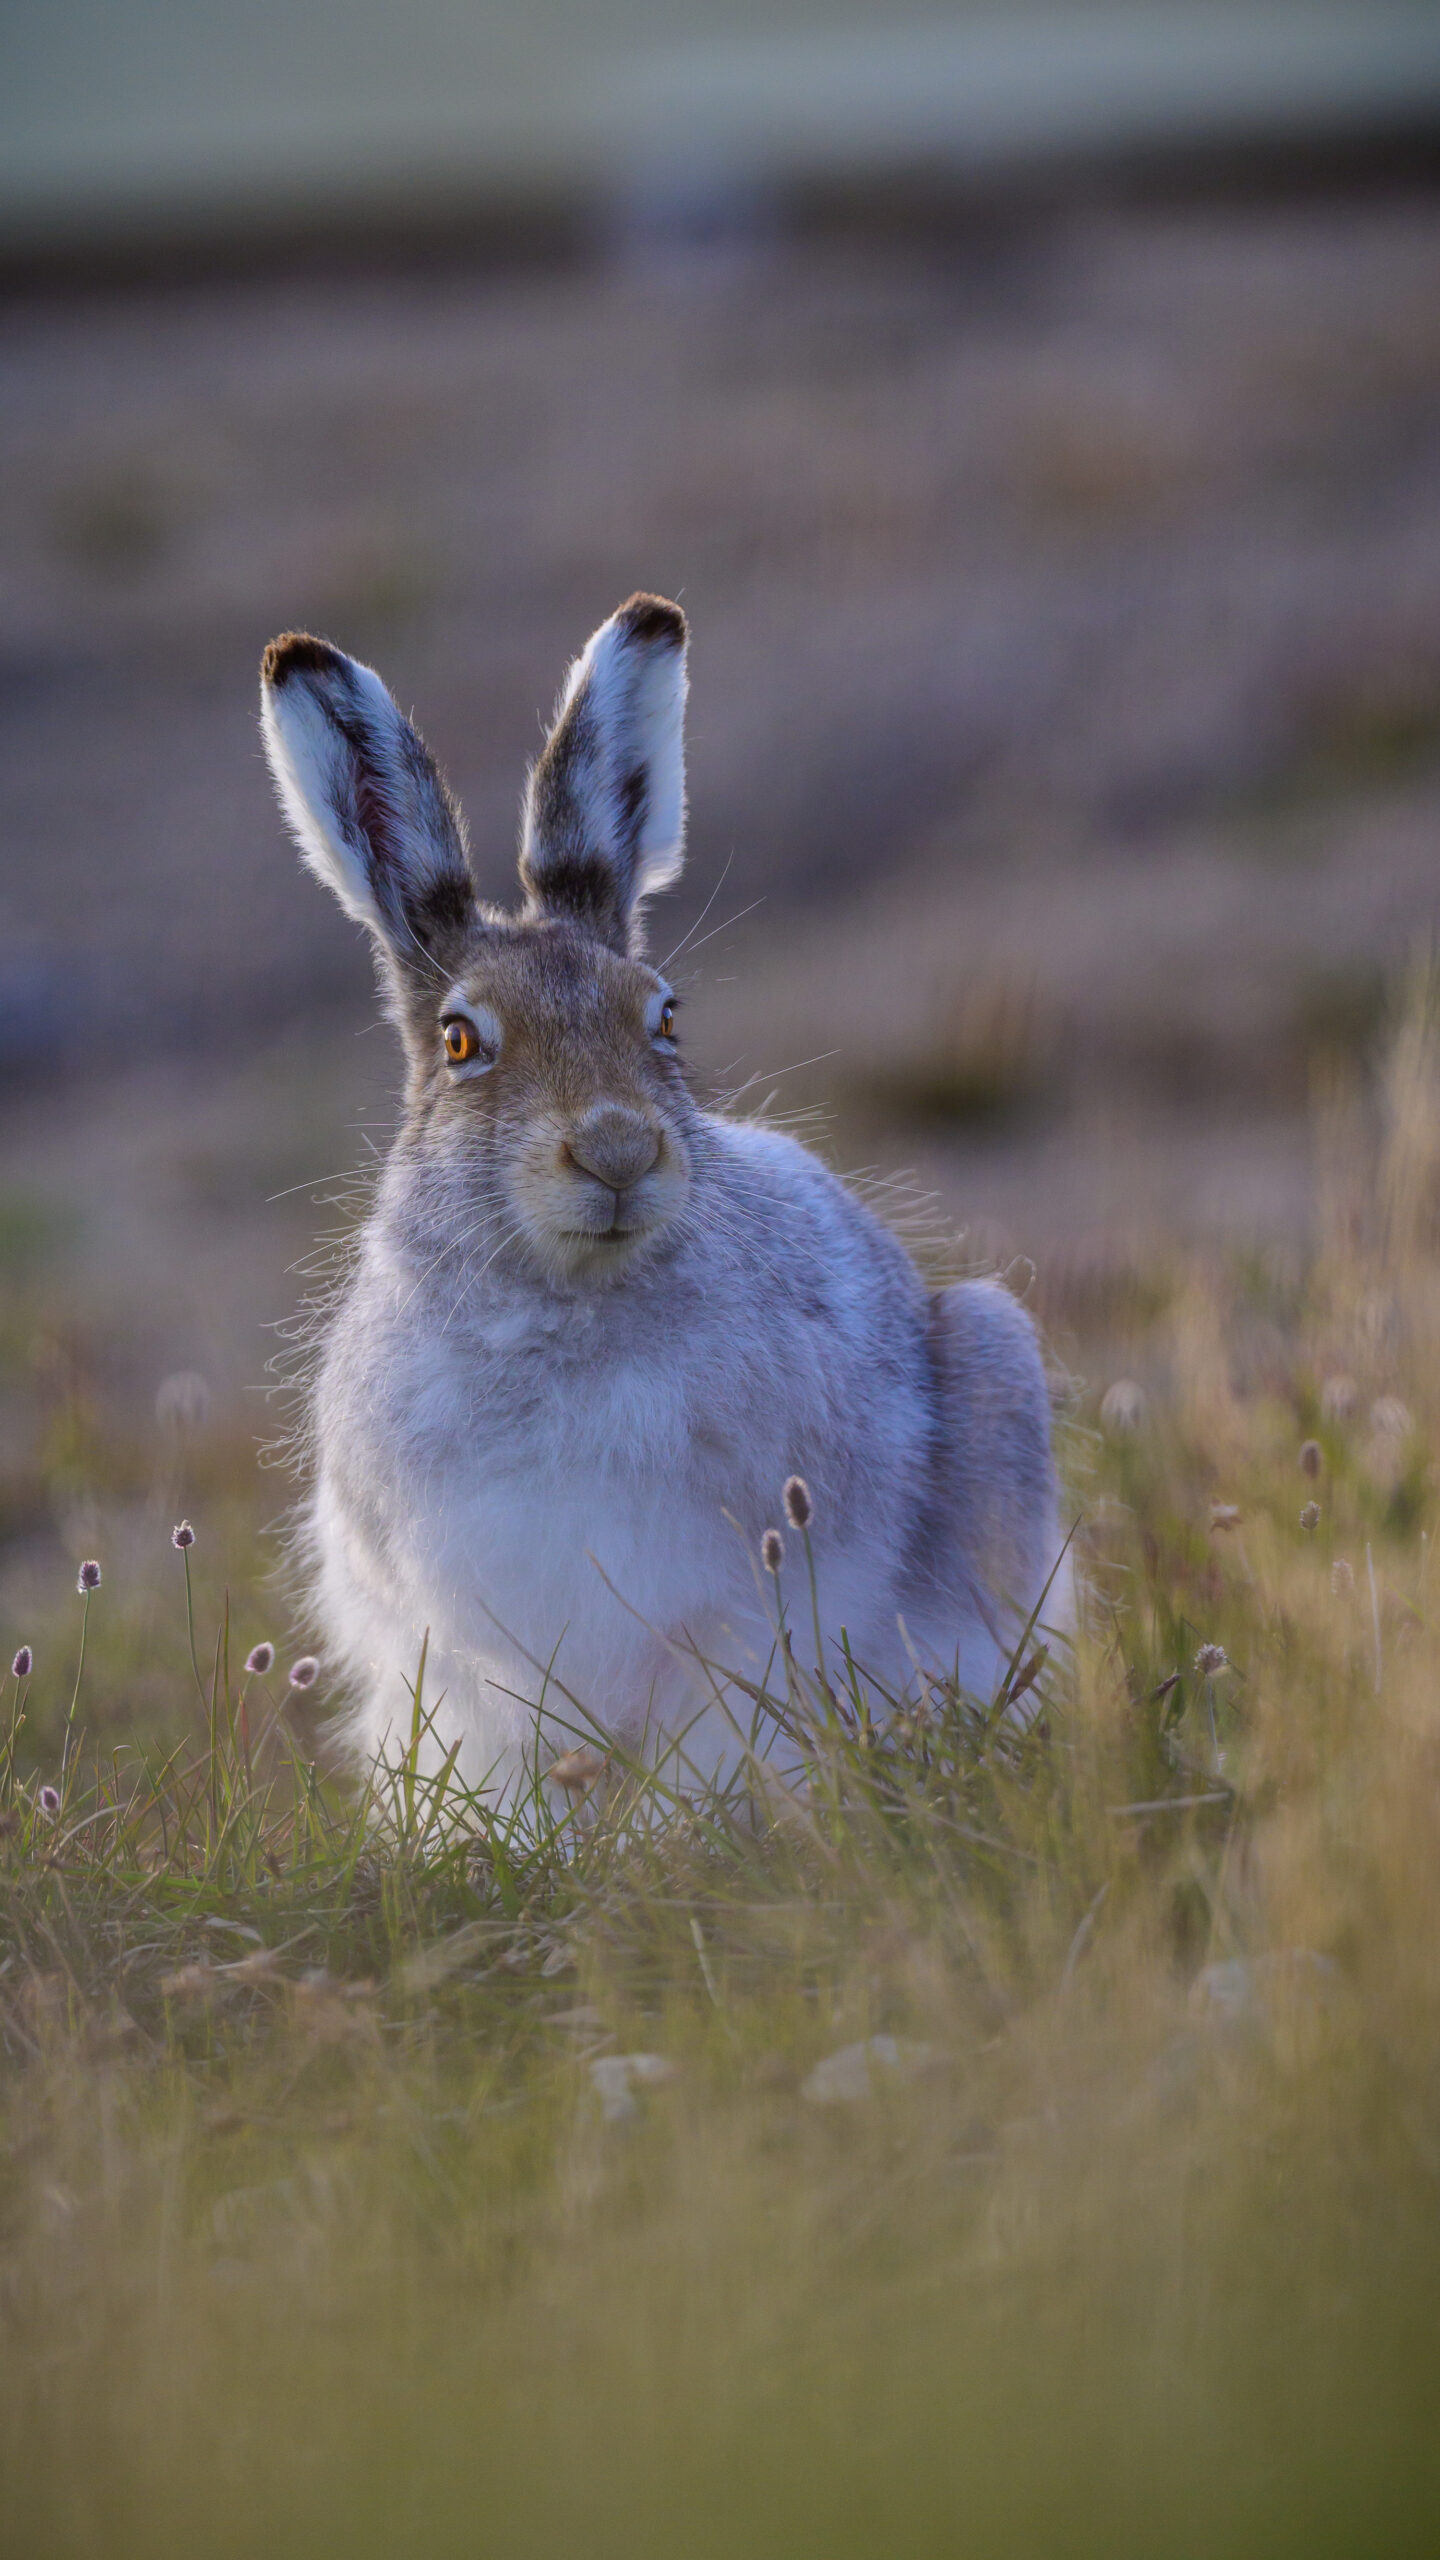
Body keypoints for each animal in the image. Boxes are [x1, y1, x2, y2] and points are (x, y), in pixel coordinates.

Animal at [260, 594, 1062, 1801]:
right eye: (460, 1041)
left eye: (666, 1016)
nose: (619, 1149)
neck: (566, 1303)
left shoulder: (734, 1614)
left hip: (996, 1359)